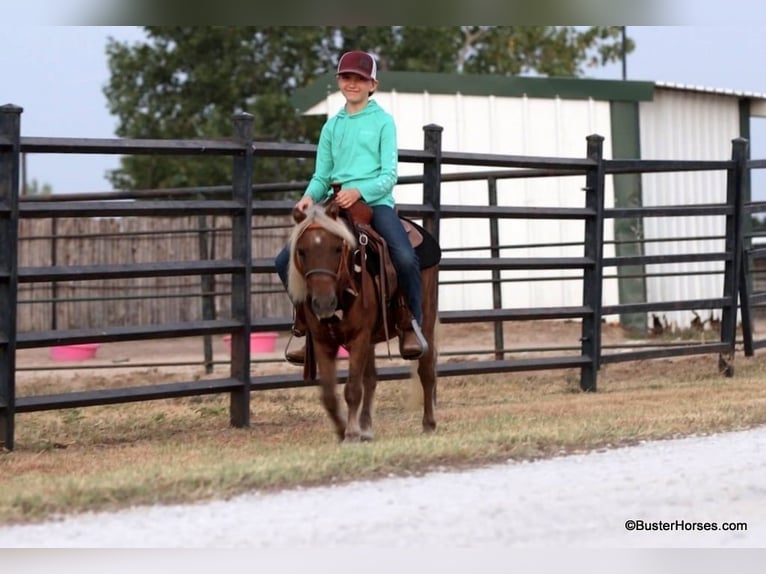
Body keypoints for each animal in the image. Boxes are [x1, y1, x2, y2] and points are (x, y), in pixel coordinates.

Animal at [288, 200, 440, 444]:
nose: (323, 303)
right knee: (370, 379)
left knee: (426, 371)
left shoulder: (359, 337)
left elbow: (352, 389)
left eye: (337, 248)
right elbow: (329, 394)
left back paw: (429, 423)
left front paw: (351, 434)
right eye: (301, 251)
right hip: (371, 339)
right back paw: (366, 428)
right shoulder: (323, 342)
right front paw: (343, 430)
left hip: (426, 319)